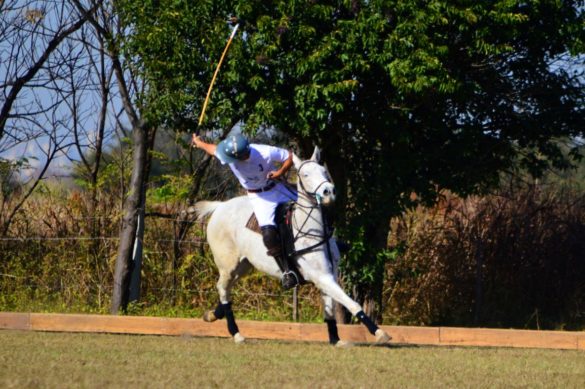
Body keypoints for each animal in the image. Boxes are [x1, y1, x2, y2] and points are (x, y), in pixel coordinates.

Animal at [194, 146, 390, 346]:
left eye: (324, 171)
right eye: (305, 174)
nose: (328, 192)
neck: (312, 229)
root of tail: (219, 207)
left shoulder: (330, 274)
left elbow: (329, 310)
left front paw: (335, 339)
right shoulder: (321, 277)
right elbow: (351, 303)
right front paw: (379, 333)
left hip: (244, 265)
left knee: (227, 288)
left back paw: (212, 315)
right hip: (227, 263)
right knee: (222, 287)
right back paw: (236, 333)